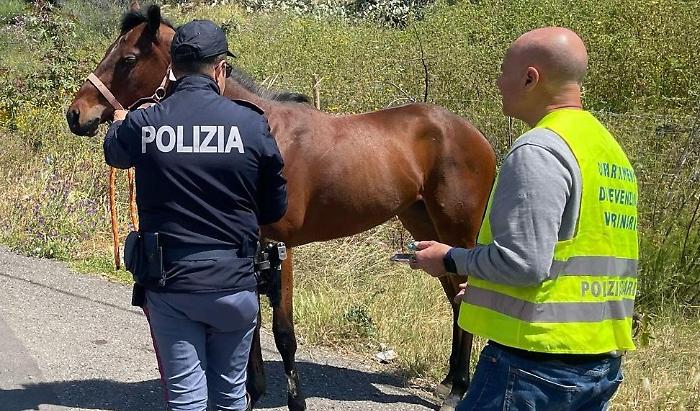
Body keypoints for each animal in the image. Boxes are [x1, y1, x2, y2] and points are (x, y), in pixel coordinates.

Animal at [65, 3, 496, 410]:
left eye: (127, 59)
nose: (76, 113)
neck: (259, 130)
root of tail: (473, 133)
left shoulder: (279, 247)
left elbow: (282, 332)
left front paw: (294, 400)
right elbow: (249, 322)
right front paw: (251, 393)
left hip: (456, 231)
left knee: (465, 296)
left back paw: (460, 388)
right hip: (426, 230)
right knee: (455, 298)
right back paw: (450, 382)